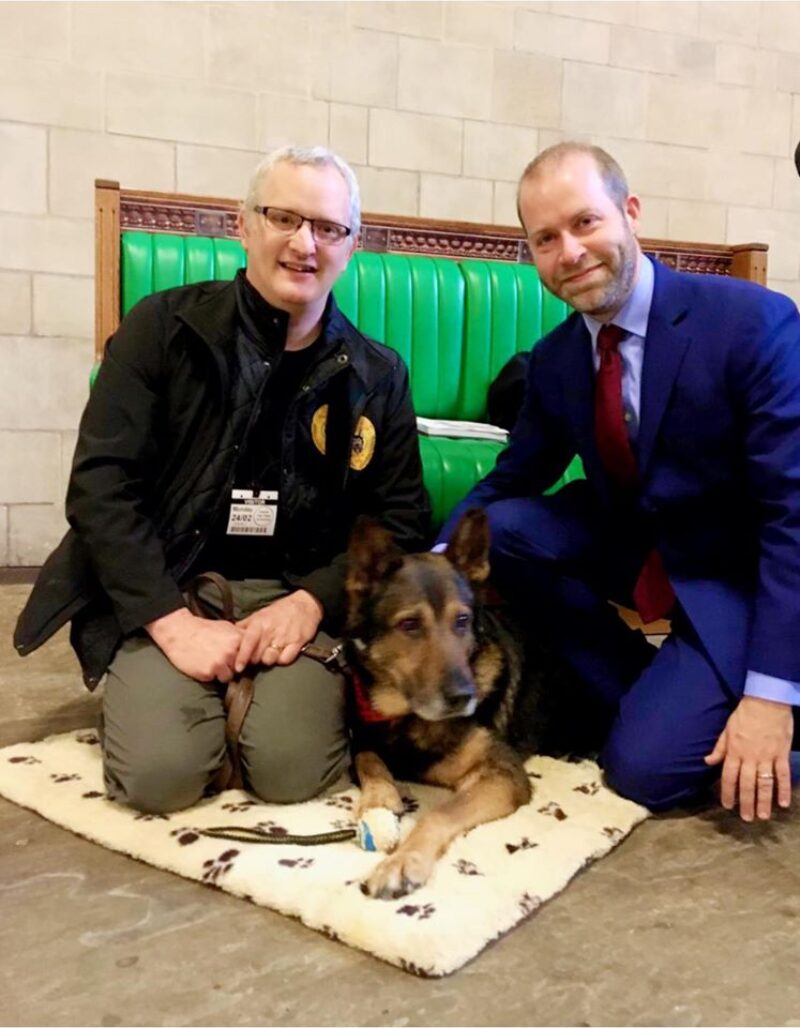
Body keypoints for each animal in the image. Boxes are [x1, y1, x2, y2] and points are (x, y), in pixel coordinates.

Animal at [345, 505, 538, 900]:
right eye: (409, 625)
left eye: (462, 620)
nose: (464, 697)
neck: (408, 716)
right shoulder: (363, 736)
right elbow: (368, 758)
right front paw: (378, 799)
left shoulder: (502, 774)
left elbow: (442, 812)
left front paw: (402, 863)